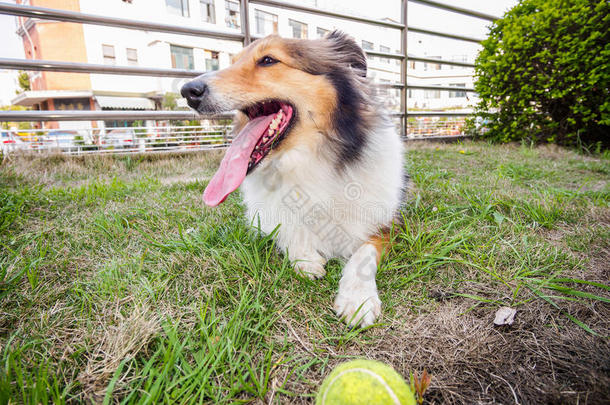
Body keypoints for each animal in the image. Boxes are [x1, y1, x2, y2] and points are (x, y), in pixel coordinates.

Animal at [182, 32, 408, 328]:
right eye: (233, 61)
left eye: (268, 60)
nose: (188, 91)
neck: (309, 161)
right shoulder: (267, 217)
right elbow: (287, 230)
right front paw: (307, 259)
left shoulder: (387, 223)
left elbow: (364, 254)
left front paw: (358, 299)